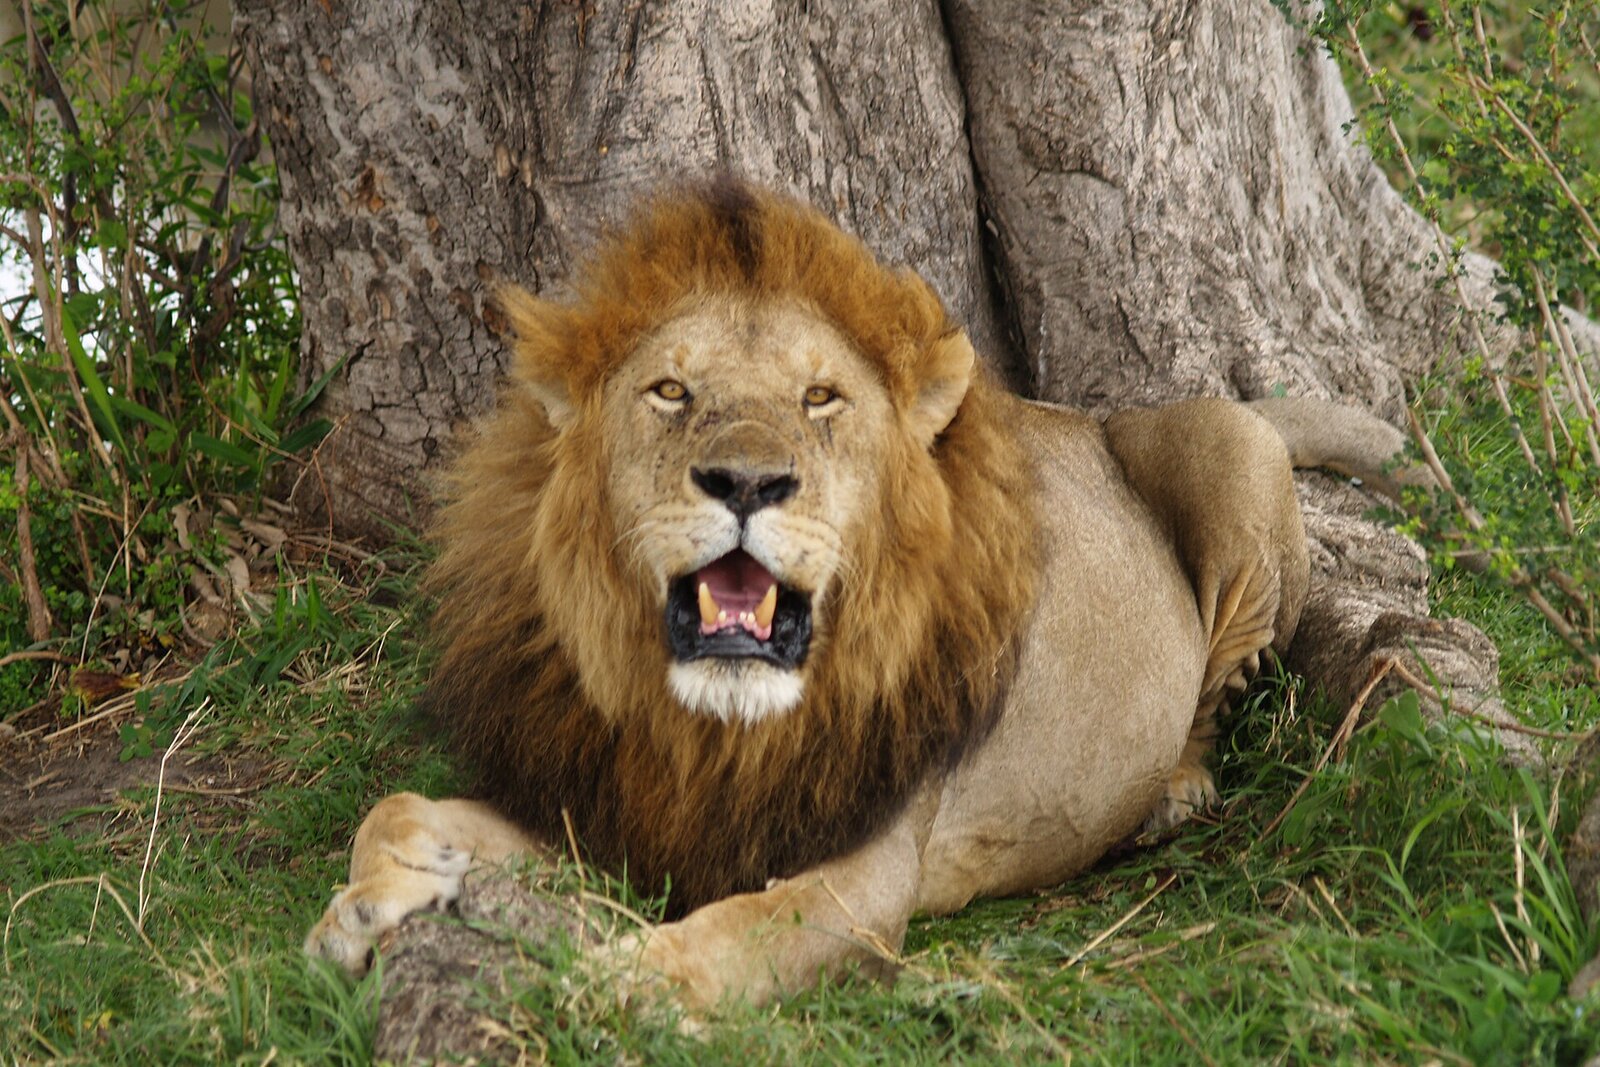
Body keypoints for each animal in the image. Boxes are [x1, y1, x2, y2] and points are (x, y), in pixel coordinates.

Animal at [305, 180, 1414, 1010]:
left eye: (819, 398)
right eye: (671, 390)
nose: (746, 481)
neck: (713, 730)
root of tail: (1101, 418)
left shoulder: (865, 877)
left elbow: (739, 930)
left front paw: (616, 980)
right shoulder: (609, 809)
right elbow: (396, 803)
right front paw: (364, 905)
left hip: (1231, 450)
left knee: (1215, 688)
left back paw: (1172, 792)